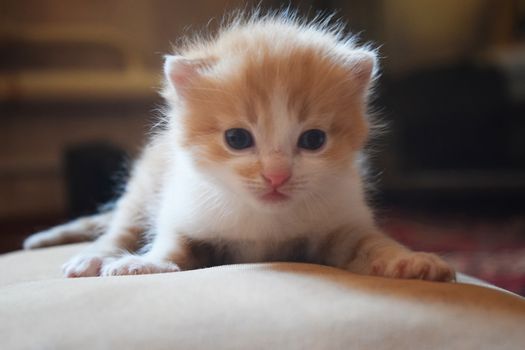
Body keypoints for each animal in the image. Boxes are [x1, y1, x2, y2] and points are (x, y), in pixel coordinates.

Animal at [22, 12, 454, 284]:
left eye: (314, 140)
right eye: (237, 139)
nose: (276, 175)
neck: (264, 223)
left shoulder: (341, 223)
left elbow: (371, 242)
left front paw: (409, 260)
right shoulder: (183, 204)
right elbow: (172, 241)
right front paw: (146, 263)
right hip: (146, 184)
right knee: (121, 225)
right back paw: (95, 255)